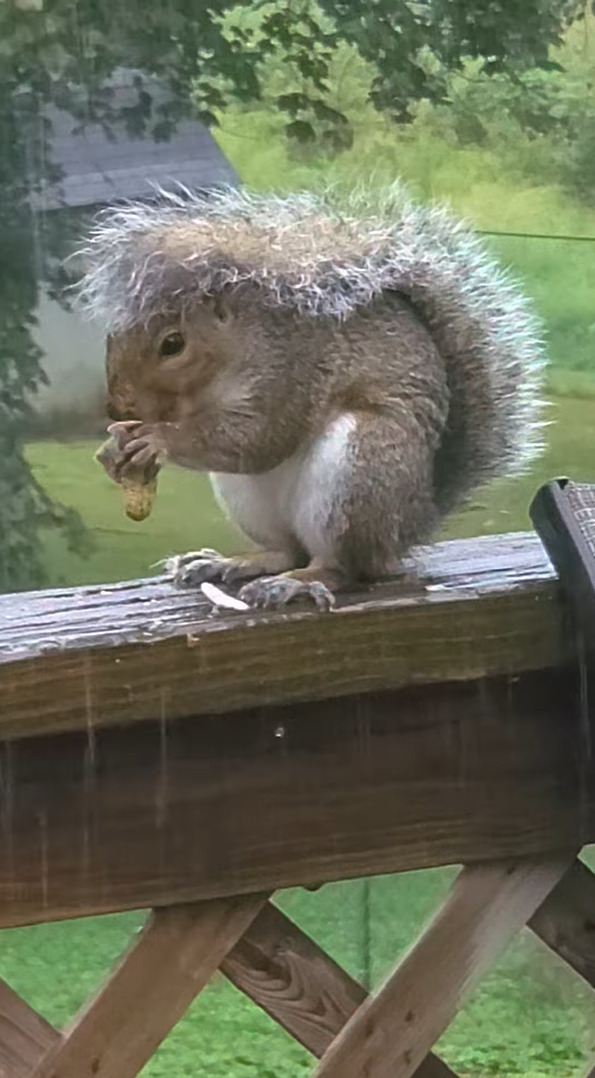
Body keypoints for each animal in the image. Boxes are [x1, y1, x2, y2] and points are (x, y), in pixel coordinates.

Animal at [75, 182, 547, 612]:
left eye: (173, 344)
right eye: (112, 336)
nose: (117, 407)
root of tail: (414, 523)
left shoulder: (292, 373)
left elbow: (260, 439)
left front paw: (158, 439)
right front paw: (113, 449)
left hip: (361, 471)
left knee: (341, 567)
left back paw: (294, 584)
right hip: (247, 500)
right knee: (286, 551)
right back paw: (232, 563)